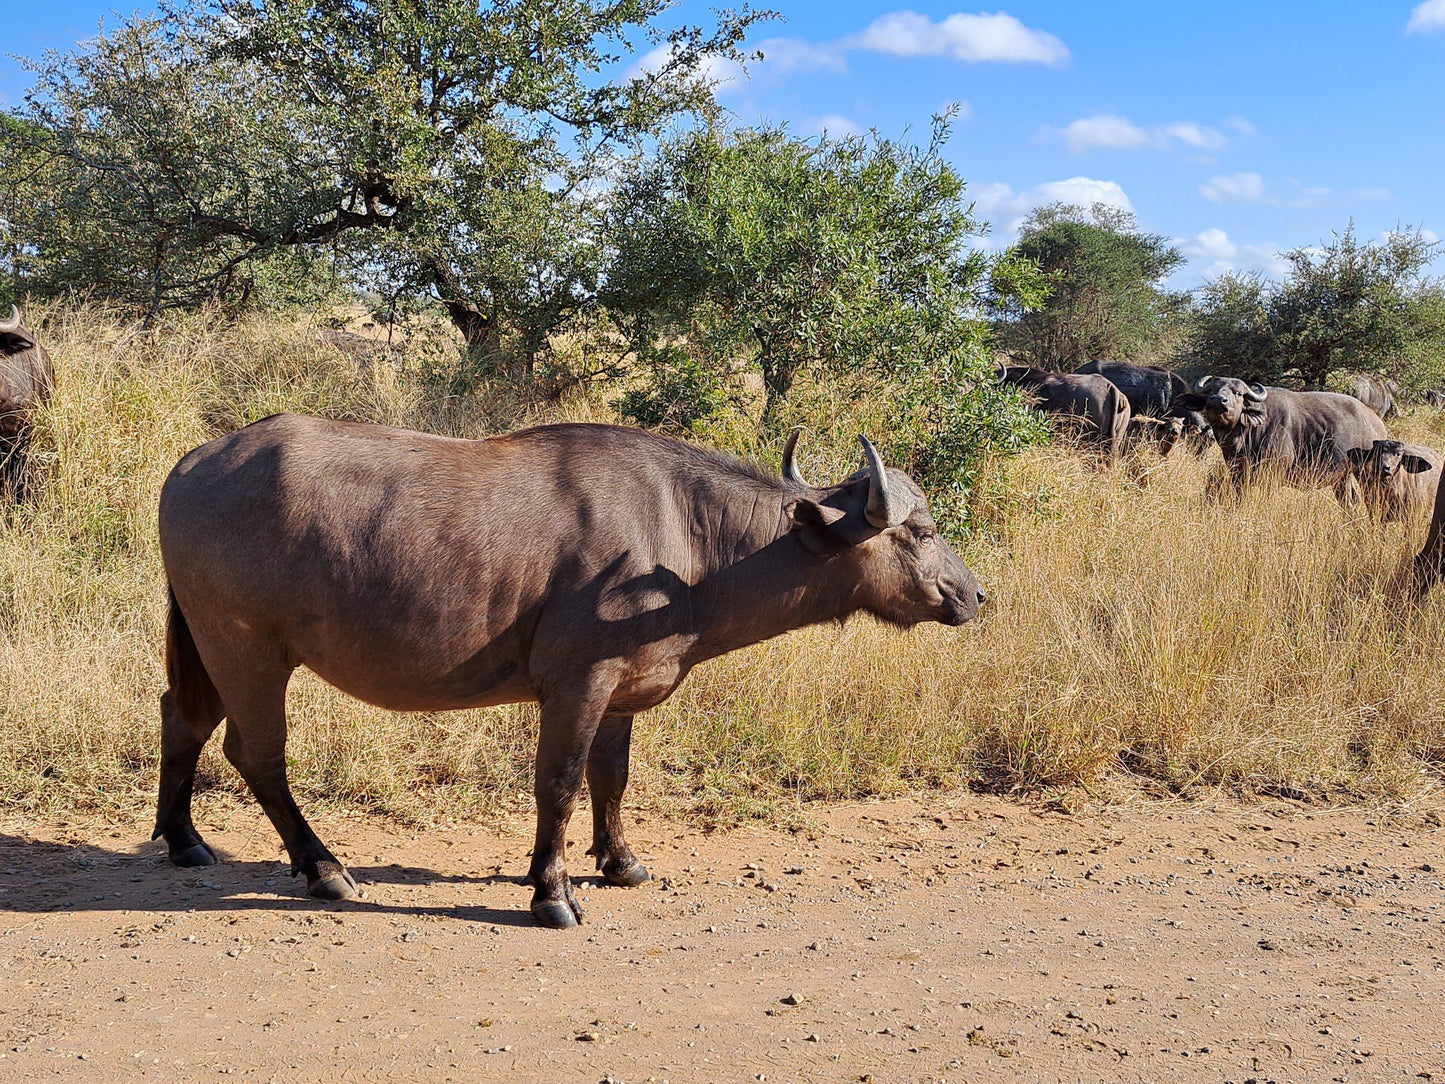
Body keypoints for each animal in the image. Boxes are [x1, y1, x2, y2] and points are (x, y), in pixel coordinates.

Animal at [158, 419, 988, 930]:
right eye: (922, 532)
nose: (976, 595)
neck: (686, 539)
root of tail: (192, 463)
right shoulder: (577, 684)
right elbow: (557, 783)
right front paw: (550, 893)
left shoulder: (621, 694)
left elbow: (610, 780)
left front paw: (618, 862)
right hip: (248, 650)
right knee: (257, 755)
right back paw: (323, 867)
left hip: (203, 645)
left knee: (182, 718)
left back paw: (183, 841)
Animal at [1190, 378, 1392, 505]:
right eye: (1212, 390)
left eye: (1238, 393)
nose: (1218, 400)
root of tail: (1376, 423)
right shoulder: (1238, 474)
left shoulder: (1272, 474)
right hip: (1342, 478)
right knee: (1350, 502)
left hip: (1367, 476)